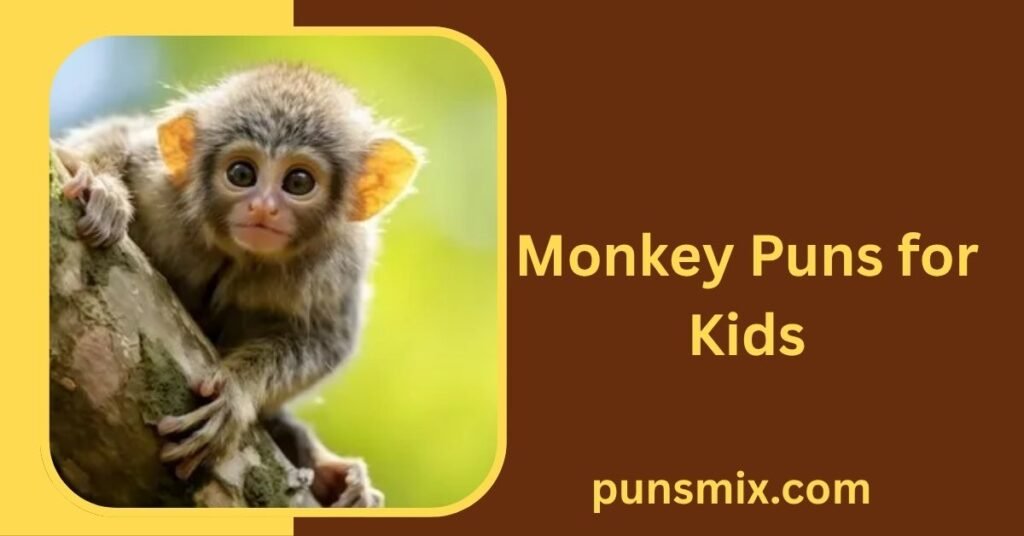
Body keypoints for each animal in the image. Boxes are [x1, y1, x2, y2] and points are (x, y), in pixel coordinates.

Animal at [54, 64, 422, 507]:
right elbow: (109, 142)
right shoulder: (158, 179)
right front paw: (103, 190)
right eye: (242, 174)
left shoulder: (338, 268)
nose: (263, 207)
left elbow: (327, 342)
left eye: (299, 182)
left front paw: (238, 392)